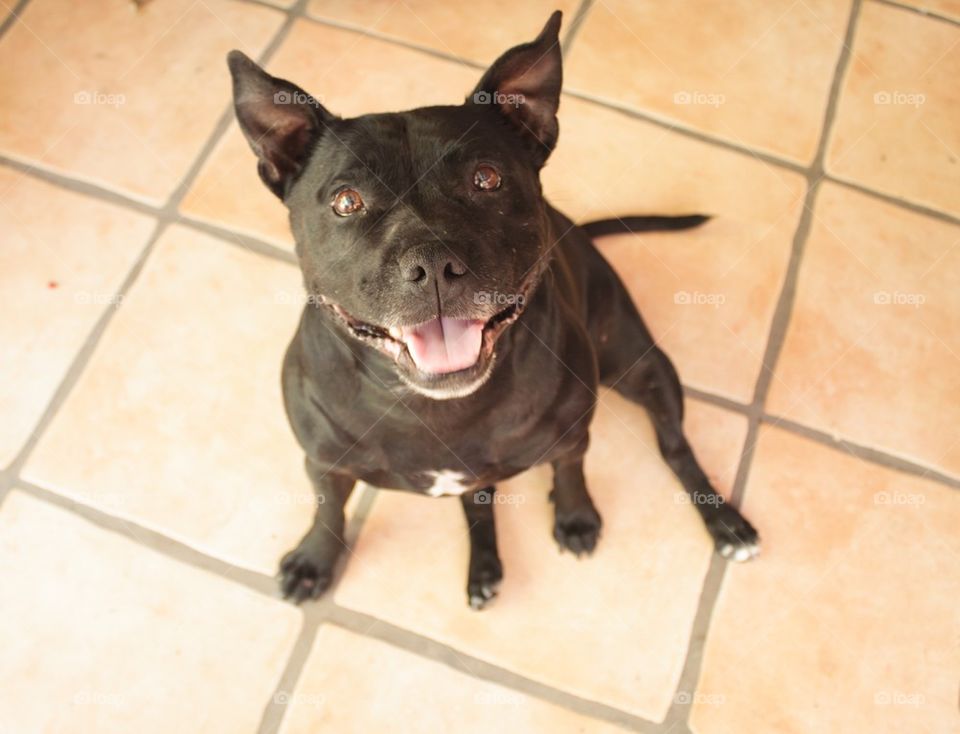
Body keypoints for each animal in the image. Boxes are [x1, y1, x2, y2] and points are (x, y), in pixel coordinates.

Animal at [227, 10, 756, 608]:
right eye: (346, 201)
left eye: (487, 178)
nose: (432, 263)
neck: (436, 408)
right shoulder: (323, 462)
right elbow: (328, 511)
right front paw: (315, 560)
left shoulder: (572, 436)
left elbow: (572, 473)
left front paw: (575, 517)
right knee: (478, 496)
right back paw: (484, 566)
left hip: (643, 366)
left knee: (675, 447)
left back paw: (726, 523)